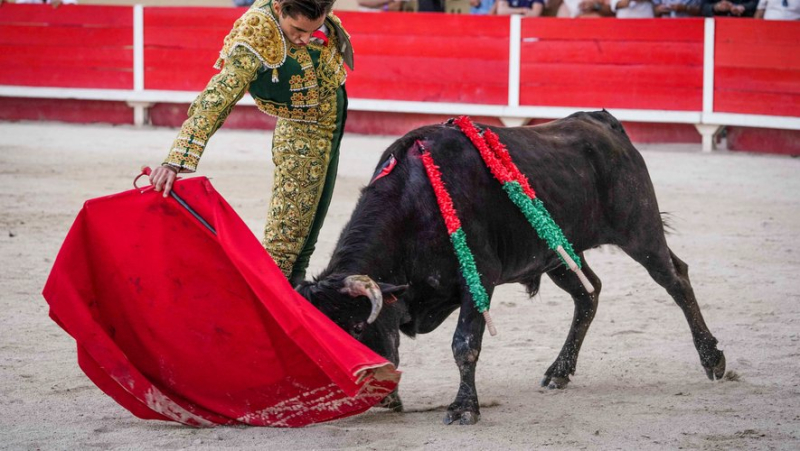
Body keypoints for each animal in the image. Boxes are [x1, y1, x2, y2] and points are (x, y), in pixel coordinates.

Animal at [296, 111, 728, 426]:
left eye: (356, 327)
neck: (415, 204)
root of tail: (602, 121)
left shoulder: (478, 279)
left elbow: (464, 345)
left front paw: (464, 409)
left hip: (640, 232)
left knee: (676, 279)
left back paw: (713, 360)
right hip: (559, 255)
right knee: (589, 294)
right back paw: (559, 371)